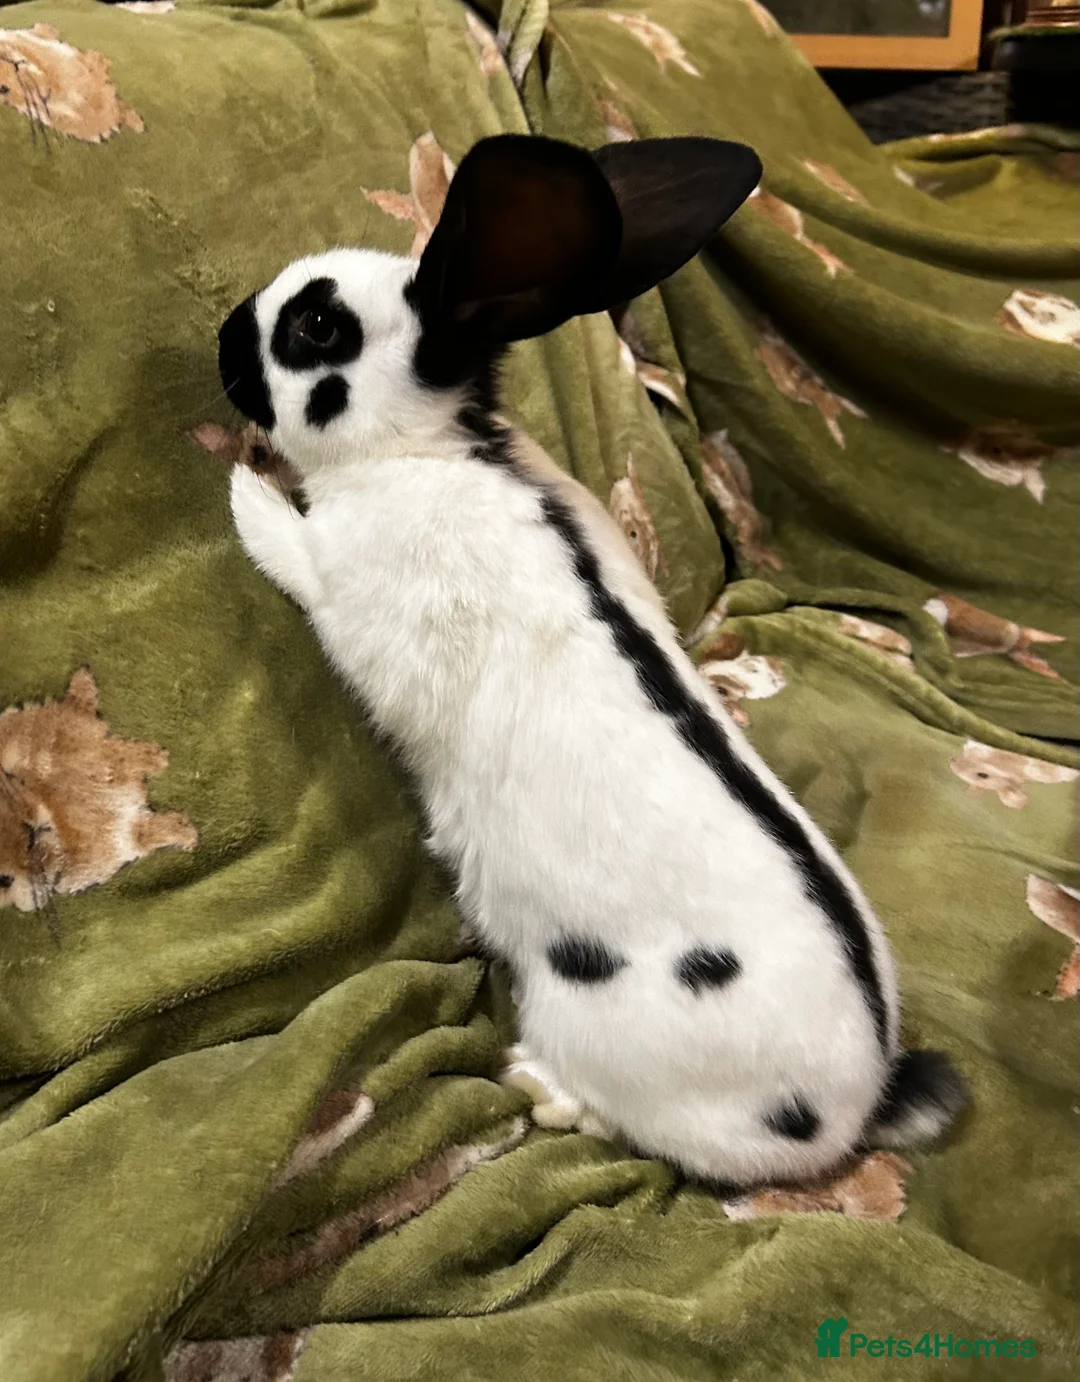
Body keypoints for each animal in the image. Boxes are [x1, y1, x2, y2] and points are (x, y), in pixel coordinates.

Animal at [215, 133, 967, 1187]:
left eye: (316, 327)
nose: (220, 338)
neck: (433, 452)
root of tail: (860, 1109)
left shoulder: (345, 585)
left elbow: (289, 552)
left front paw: (245, 483)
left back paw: (540, 1087)